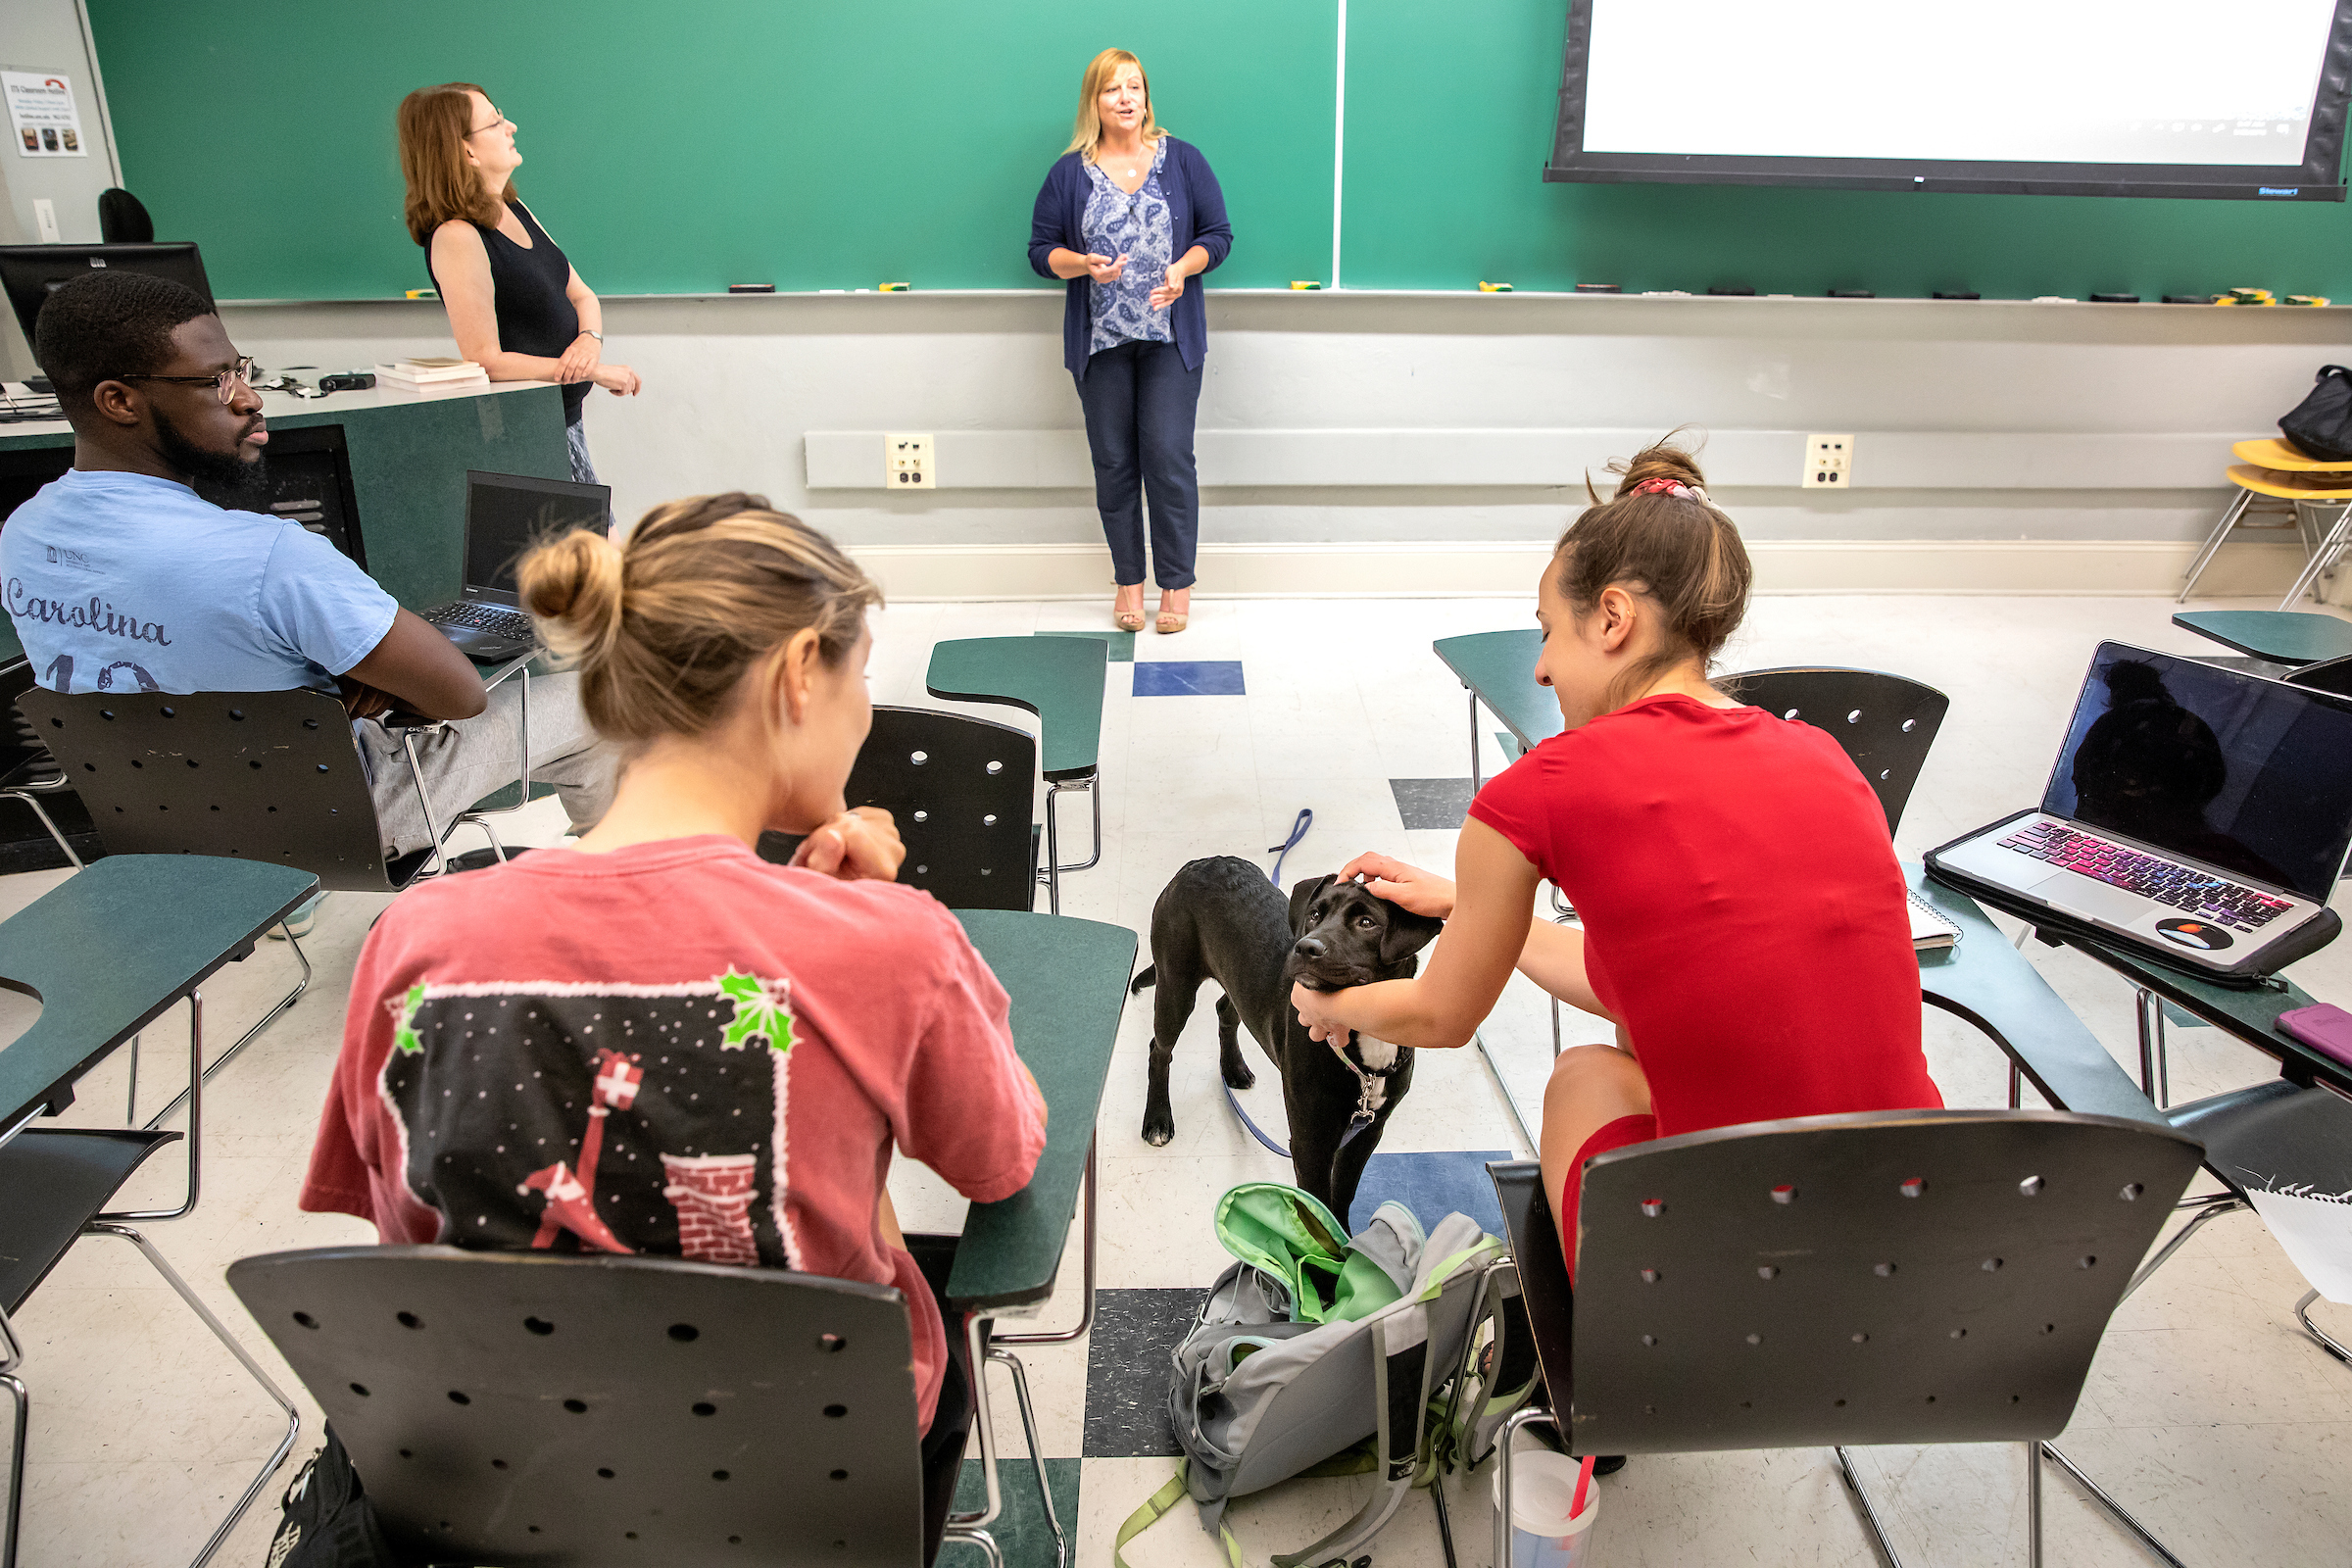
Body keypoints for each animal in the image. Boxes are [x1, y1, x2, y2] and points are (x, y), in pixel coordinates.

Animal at [1129, 859, 1439, 1212]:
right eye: (1315, 914)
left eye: (1367, 923)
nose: (1306, 947)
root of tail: (1199, 864)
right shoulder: (1309, 1142)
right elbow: (1320, 1203)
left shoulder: (1367, 1133)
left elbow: (1343, 1194)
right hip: (1175, 985)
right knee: (1159, 1049)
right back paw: (1157, 1118)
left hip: (1240, 985)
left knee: (1225, 1010)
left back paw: (1233, 1069)